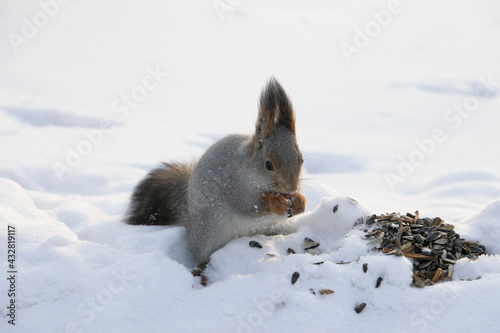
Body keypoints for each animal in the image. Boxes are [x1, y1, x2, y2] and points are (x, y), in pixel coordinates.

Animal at [126, 76, 304, 264]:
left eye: (301, 159)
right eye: (268, 165)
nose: (291, 188)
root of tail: (191, 225)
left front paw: (300, 201)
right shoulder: (235, 186)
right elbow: (249, 206)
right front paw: (276, 202)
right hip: (211, 231)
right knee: (201, 256)